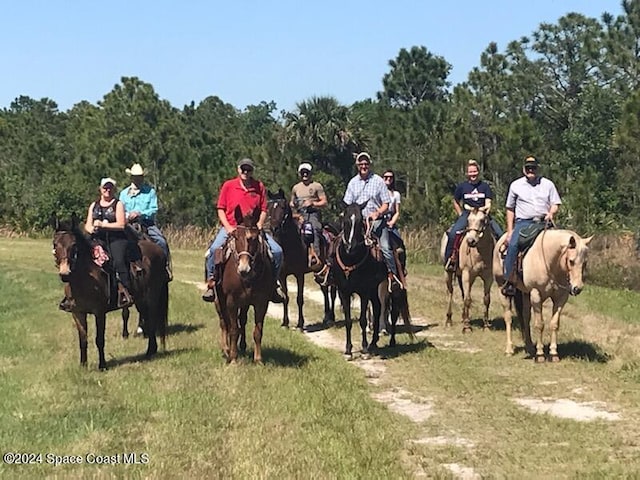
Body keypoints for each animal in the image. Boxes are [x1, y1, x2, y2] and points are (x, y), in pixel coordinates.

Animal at [52, 216, 169, 370]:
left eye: (74, 245)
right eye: (55, 244)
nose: (65, 274)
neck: (85, 278)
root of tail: (159, 250)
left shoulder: (99, 312)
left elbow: (99, 339)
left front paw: (102, 365)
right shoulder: (77, 312)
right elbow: (83, 340)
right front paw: (83, 365)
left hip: (153, 297)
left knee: (153, 319)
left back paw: (150, 351)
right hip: (141, 299)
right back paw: (151, 351)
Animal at [212, 209, 272, 364]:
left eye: (255, 238)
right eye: (236, 237)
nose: (244, 269)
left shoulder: (261, 302)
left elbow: (258, 331)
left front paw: (258, 359)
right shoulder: (231, 301)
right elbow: (233, 329)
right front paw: (233, 358)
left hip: (244, 303)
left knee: (242, 321)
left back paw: (242, 347)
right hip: (219, 301)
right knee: (224, 323)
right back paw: (226, 349)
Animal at [266, 190, 338, 330]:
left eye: (282, 207)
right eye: (269, 207)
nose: (274, 228)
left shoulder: (299, 274)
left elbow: (299, 298)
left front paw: (300, 324)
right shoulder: (282, 276)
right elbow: (286, 297)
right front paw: (285, 323)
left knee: (332, 292)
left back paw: (331, 318)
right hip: (319, 272)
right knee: (324, 290)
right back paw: (326, 317)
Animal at [492, 228, 592, 360]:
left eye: (585, 262)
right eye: (571, 261)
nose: (577, 288)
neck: (550, 262)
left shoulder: (561, 298)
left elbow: (554, 324)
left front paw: (554, 353)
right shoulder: (536, 295)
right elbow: (539, 324)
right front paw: (540, 354)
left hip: (525, 293)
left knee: (525, 317)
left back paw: (530, 347)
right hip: (502, 289)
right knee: (508, 317)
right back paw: (509, 349)